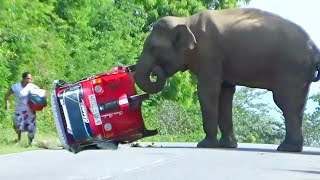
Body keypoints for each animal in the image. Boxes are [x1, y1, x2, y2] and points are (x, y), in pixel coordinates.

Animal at [133, 7, 320, 153]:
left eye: (153, 48)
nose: (156, 71)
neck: (186, 21)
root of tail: (314, 49)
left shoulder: (210, 53)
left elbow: (207, 91)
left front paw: (205, 145)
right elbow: (225, 93)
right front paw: (227, 145)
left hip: (292, 69)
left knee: (286, 103)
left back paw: (287, 148)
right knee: (296, 105)